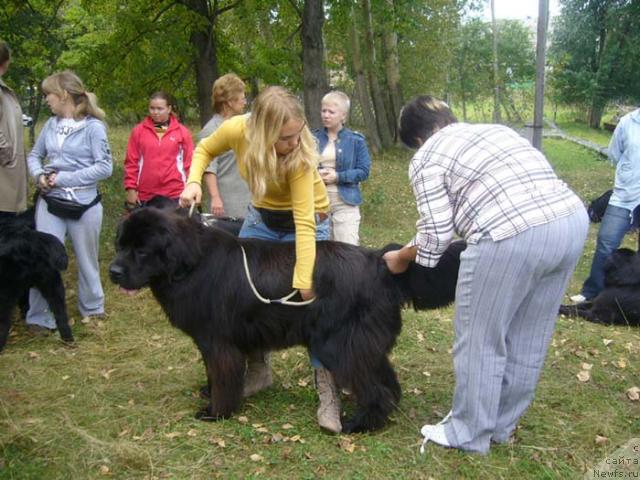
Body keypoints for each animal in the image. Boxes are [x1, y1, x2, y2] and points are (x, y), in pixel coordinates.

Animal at [107, 208, 462, 434]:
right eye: (120, 245)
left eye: (142, 250)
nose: (113, 272)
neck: (190, 263)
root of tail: (379, 261)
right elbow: (214, 374)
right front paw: (210, 394)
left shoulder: (217, 342)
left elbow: (222, 376)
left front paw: (216, 412)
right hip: (360, 343)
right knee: (385, 379)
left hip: (339, 344)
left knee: (373, 386)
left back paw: (359, 425)